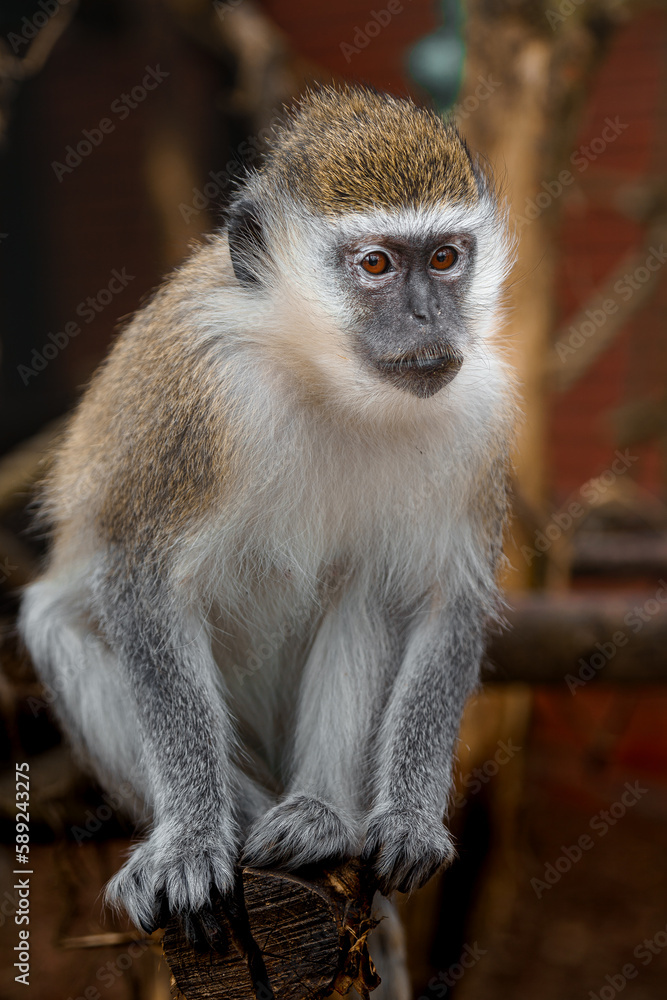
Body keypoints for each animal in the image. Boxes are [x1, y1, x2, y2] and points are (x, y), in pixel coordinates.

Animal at [19, 85, 517, 946]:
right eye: (376, 263)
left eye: (446, 258)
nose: (431, 321)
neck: (322, 378)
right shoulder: (196, 398)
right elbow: (141, 584)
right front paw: (190, 840)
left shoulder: (477, 416)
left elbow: (445, 602)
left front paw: (410, 821)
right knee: (57, 621)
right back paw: (232, 825)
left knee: (365, 592)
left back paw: (319, 818)